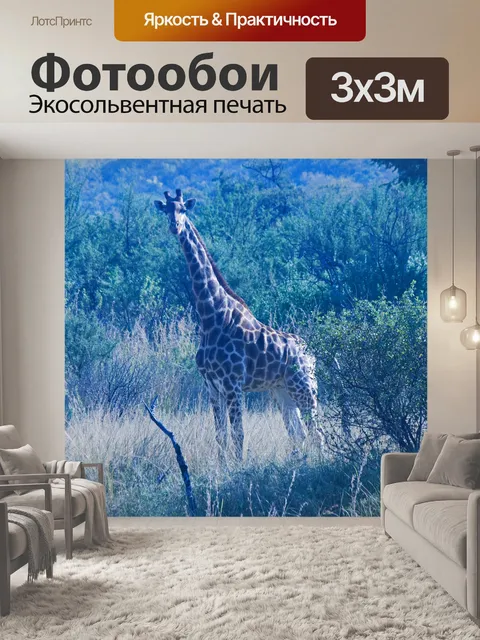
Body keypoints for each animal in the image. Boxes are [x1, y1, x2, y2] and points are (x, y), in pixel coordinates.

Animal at [154, 189, 318, 462]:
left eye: (183, 209)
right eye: (166, 209)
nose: (174, 226)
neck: (211, 315)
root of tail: (311, 354)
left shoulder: (233, 385)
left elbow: (238, 435)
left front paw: (239, 468)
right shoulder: (212, 387)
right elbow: (221, 436)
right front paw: (223, 468)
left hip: (304, 386)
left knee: (317, 431)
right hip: (282, 391)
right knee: (299, 433)